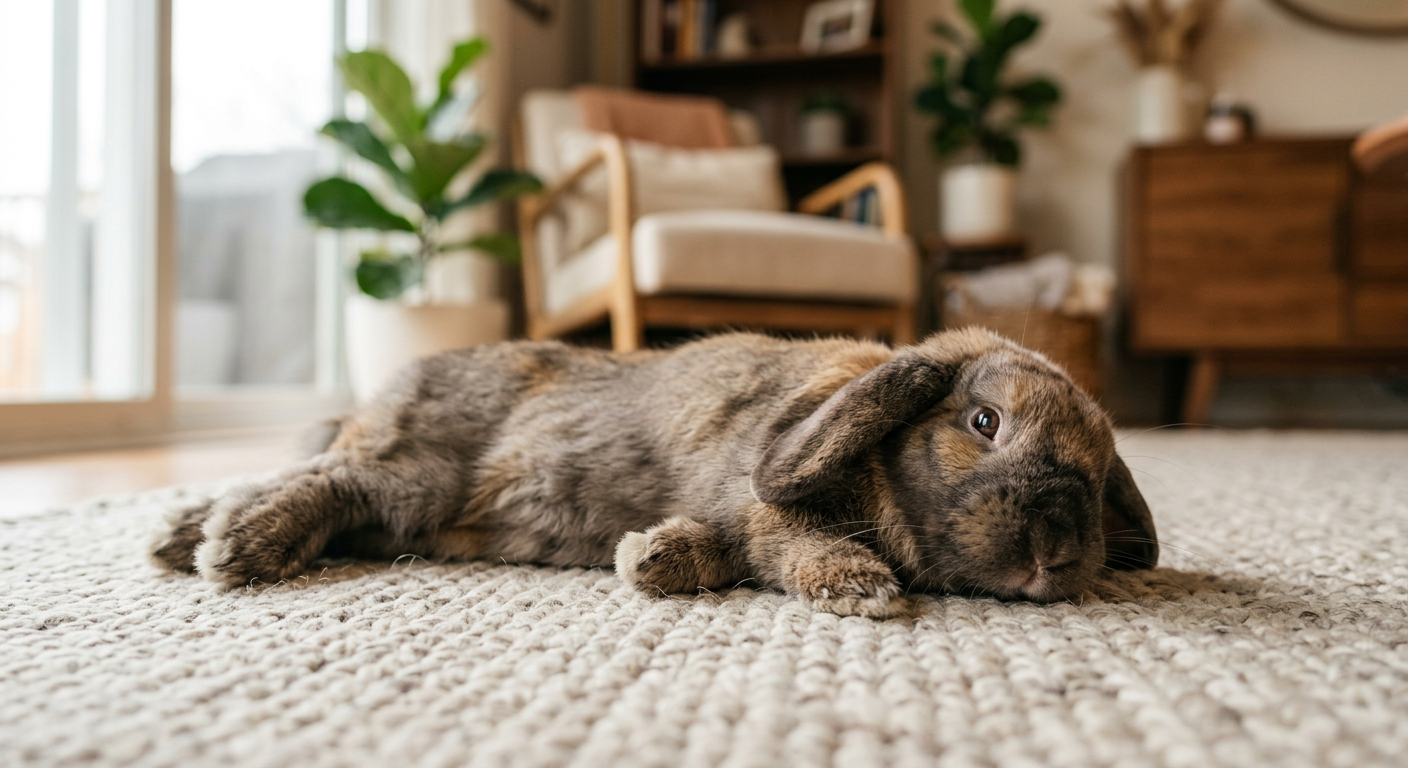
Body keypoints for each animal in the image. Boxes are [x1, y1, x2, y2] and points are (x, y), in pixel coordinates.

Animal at [151, 328, 1158, 618]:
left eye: (1101, 466)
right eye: (984, 422)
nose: (1057, 550)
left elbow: (721, 548)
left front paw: (652, 558)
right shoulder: (766, 500)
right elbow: (793, 536)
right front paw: (861, 590)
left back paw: (180, 533)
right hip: (414, 473)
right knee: (330, 478)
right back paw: (233, 544)